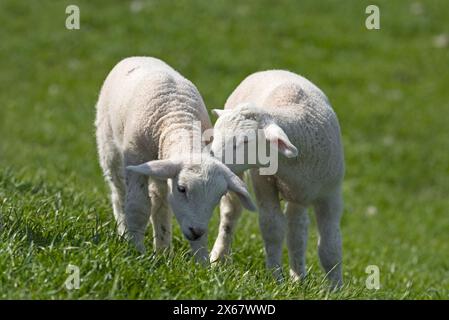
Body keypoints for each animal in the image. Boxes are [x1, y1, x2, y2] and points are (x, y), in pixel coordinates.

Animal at [93, 57, 256, 262]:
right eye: (182, 189)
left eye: (218, 196)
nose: (196, 230)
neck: (177, 118)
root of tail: (139, 57)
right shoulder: (136, 156)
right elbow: (138, 207)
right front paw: (136, 252)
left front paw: (202, 263)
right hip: (109, 145)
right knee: (119, 193)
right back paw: (124, 233)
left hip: (160, 167)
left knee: (160, 202)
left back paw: (163, 251)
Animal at [209, 70, 344, 288]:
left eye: (246, 141)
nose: (210, 156)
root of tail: (269, 70)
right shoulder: (263, 182)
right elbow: (272, 227)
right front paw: (276, 278)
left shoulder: (331, 194)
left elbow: (330, 244)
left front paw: (336, 288)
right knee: (231, 213)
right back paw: (218, 258)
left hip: (299, 194)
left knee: (297, 229)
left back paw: (299, 277)